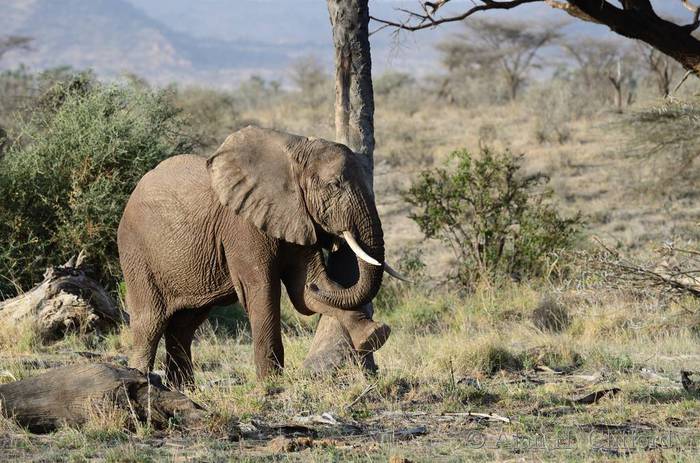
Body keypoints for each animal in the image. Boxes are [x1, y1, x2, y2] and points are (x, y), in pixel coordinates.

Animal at [118, 126, 405, 388]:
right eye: (333, 186)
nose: (336, 242)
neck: (293, 152)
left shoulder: (295, 216)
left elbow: (304, 292)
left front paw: (374, 335)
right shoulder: (244, 226)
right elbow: (263, 290)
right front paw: (270, 383)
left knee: (184, 326)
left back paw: (184, 389)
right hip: (136, 252)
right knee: (149, 322)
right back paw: (140, 379)